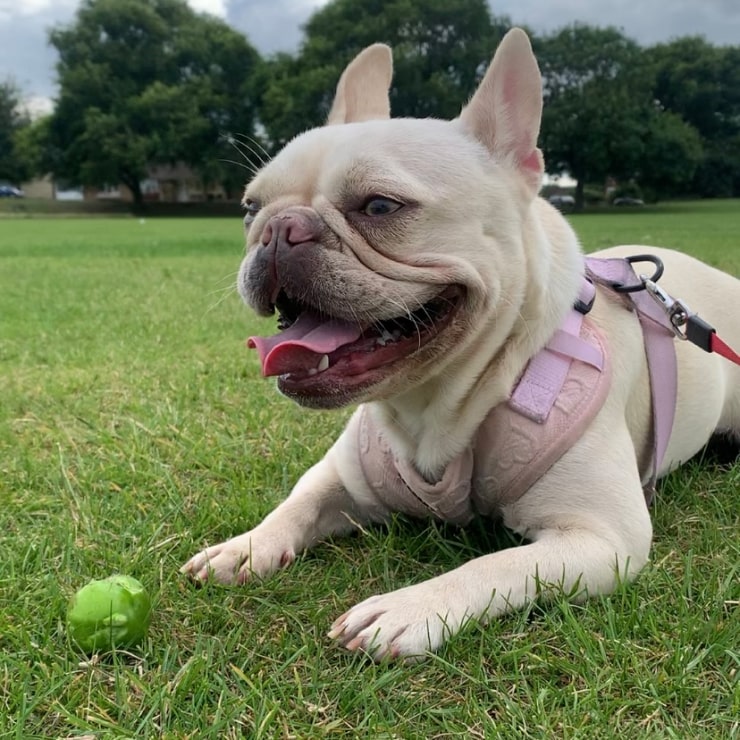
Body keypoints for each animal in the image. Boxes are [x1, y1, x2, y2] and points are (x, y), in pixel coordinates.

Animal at [181, 28, 740, 660]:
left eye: (380, 206)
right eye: (250, 208)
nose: (278, 228)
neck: (434, 407)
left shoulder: (602, 537)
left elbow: (500, 564)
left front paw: (408, 608)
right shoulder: (341, 477)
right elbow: (298, 501)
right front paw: (245, 546)